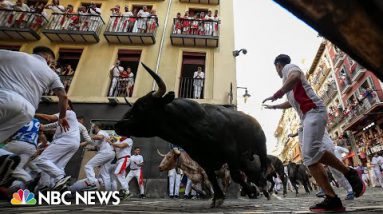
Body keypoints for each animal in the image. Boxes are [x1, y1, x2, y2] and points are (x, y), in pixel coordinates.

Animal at [115, 63, 268, 207]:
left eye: (142, 106)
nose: (118, 125)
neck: (196, 125)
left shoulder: (230, 153)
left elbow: (235, 176)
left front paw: (250, 191)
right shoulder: (204, 160)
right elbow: (212, 178)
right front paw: (218, 198)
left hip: (260, 145)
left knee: (263, 165)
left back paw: (263, 187)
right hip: (244, 158)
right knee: (251, 173)